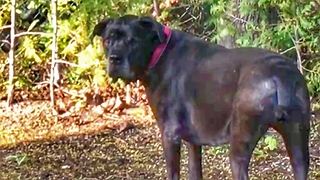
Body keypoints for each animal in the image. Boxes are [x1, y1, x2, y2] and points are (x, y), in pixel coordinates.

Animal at [92, 14, 310, 179]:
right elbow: (194, 171)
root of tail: (280, 74)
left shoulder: (170, 136)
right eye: (107, 40)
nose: (114, 59)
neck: (158, 53)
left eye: (132, 41)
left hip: (239, 145)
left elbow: (173, 174)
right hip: (298, 145)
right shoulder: (193, 141)